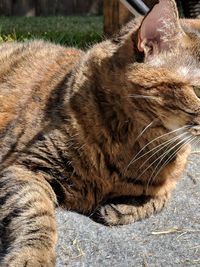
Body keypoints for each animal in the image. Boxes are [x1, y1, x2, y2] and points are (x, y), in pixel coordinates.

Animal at [0, 0, 200, 266]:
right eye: (198, 91)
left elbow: (160, 197)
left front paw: (123, 208)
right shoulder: (25, 167)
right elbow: (34, 211)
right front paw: (33, 256)